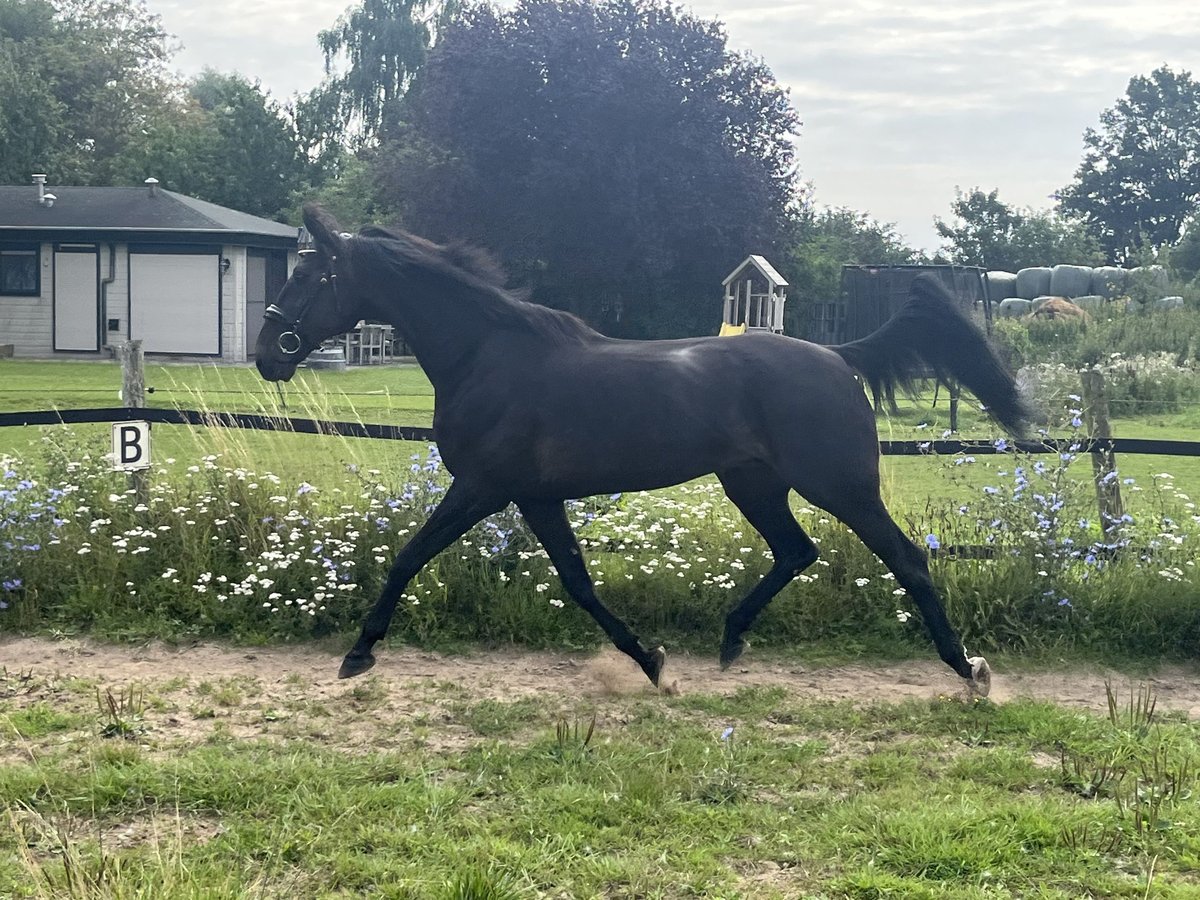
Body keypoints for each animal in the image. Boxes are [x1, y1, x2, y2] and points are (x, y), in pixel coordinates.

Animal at [258, 206, 1027, 696]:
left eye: (308, 278)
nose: (268, 353)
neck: (488, 354)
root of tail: (840, 357)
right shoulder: (534, 496)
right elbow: (577, 581)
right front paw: (653, 662)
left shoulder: (482, 486)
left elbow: (408, 556)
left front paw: (358, 653)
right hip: (752, 484)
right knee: (796, 551)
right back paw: (731, 640)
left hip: (838, 486)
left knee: (906, 559)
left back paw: (969, 672)